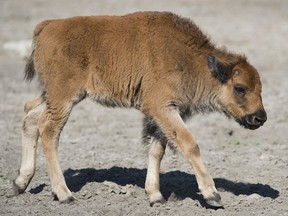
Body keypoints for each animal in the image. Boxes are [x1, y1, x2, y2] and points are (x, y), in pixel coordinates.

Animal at [12, 11, 266, 208]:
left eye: (260, 88)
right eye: (240, 88)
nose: (259, 118)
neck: (189, 59)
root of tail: (47, 26)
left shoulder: (161, 114)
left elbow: (157, 150)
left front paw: (155, 196)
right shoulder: (162, 108)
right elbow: (189, 145)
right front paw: (213, 195)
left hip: (55, 96)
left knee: (30, 115)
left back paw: (19, 183)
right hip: (64, 98)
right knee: (49, 131)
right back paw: (64, 194)